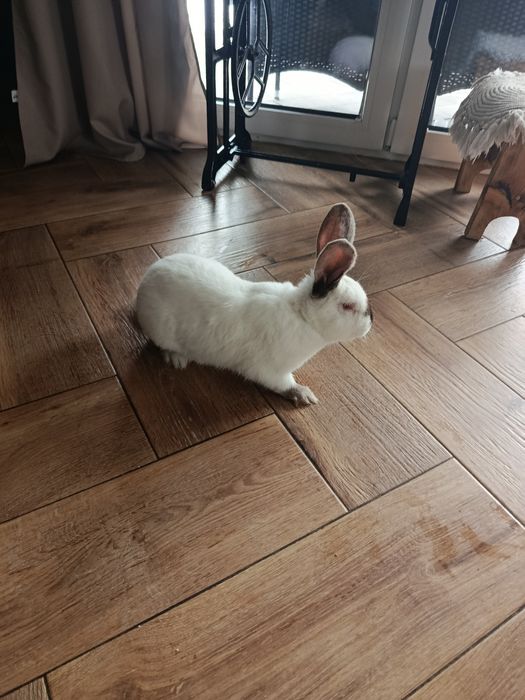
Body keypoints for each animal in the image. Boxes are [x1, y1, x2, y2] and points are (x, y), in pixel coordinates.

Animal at [135, 202, 372, 406]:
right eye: (347, 306)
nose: (371, 321)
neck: (302, 316)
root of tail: (146, 281)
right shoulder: (269, 371)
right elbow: (284, 384)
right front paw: (304, 395)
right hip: (161, 330)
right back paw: (177, 359)